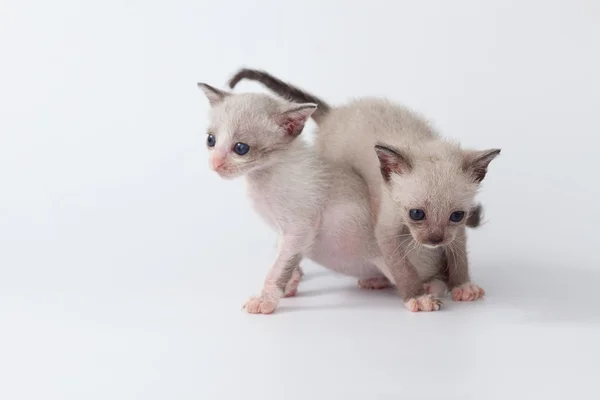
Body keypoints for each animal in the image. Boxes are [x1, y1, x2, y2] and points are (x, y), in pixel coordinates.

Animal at [199, 82, 486, 312]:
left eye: (241, 148)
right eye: (211, 140)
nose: (215, 164)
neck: (262, 178)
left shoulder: (298, 230)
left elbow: (277, 268)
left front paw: (266, 300)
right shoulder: (283, 234)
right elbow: (285, 262)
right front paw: (290, 285)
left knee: (437, 280)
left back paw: (425, 293)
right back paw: (375, 281)